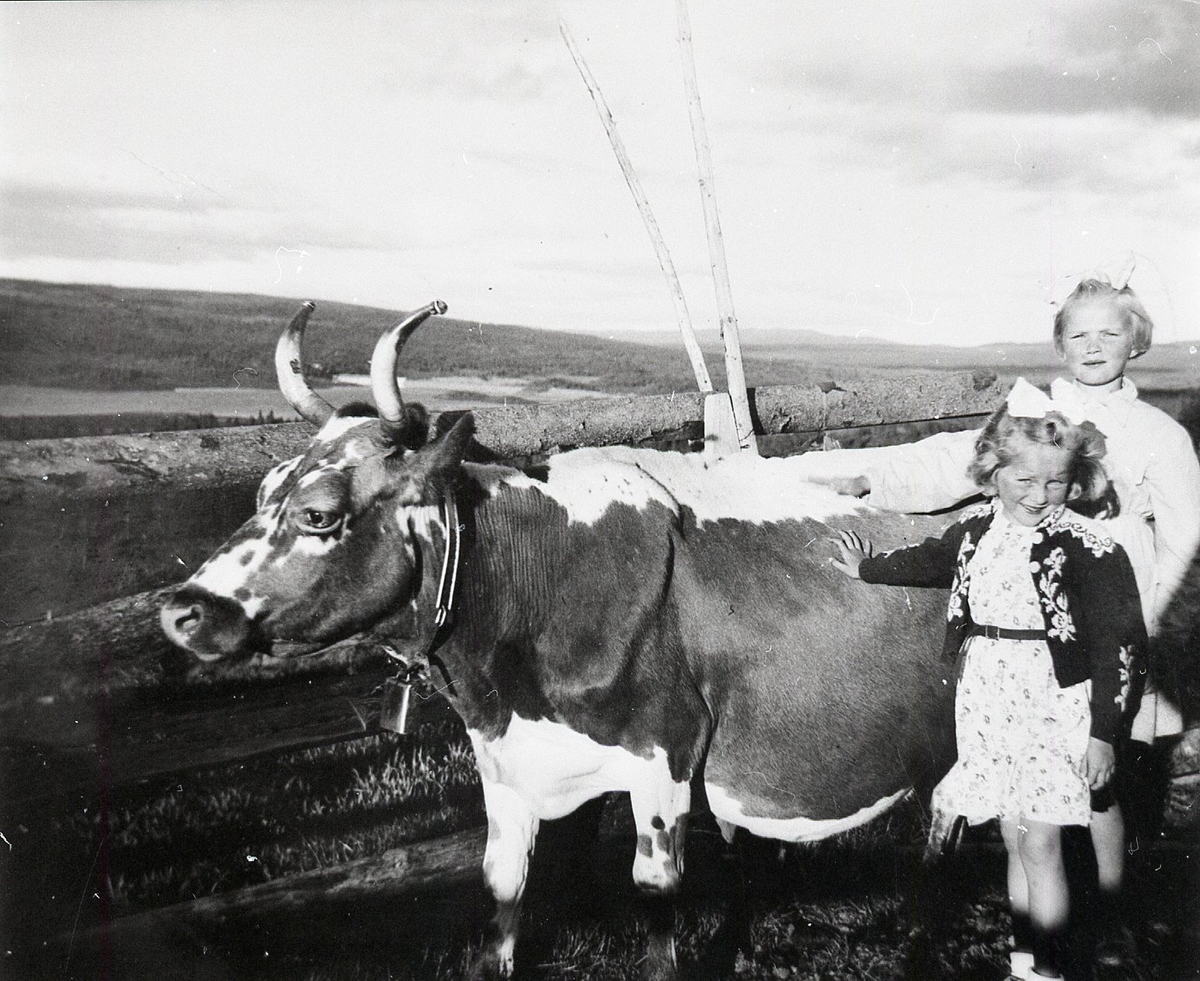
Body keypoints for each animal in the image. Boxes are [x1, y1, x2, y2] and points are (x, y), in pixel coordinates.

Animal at [162, 299, 955, 978]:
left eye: (320, 512)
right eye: (265, 488)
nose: (182, 610)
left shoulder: (666, 752)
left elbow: (655, 906)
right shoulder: (507, 765)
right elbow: (502, 894)